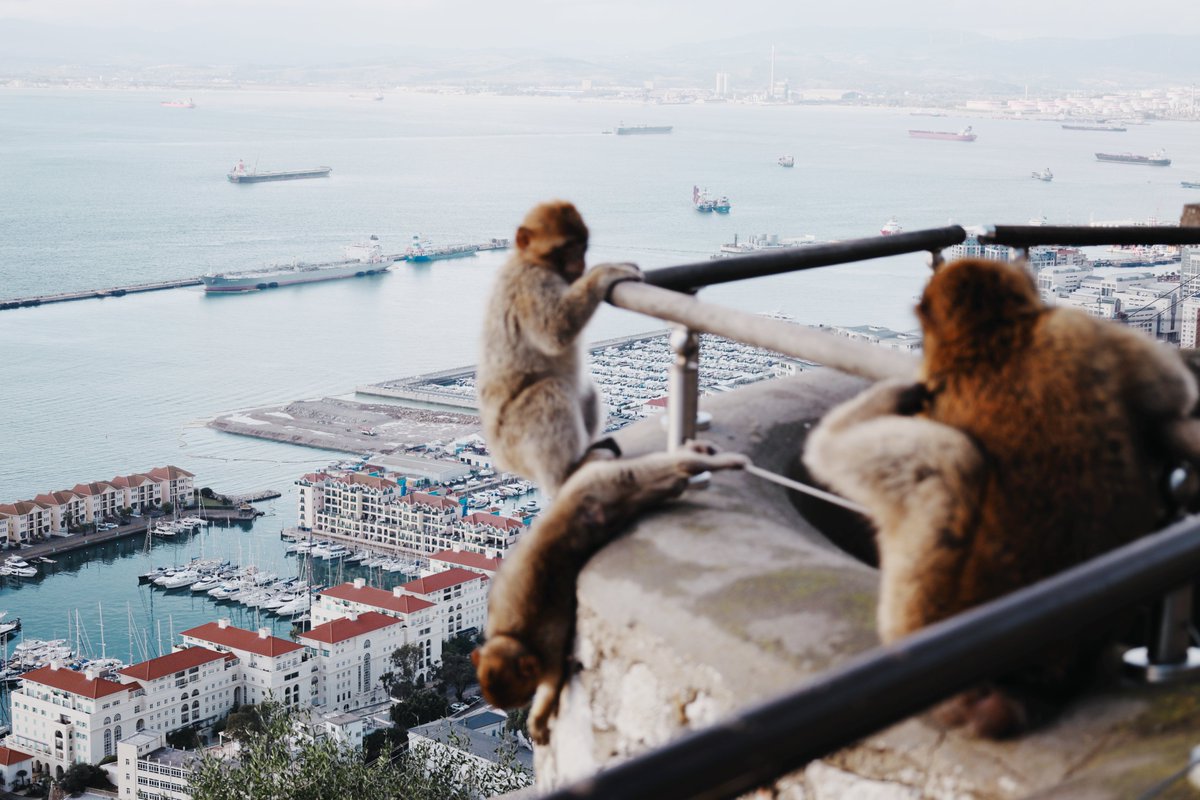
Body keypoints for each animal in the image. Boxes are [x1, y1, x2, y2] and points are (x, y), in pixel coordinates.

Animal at [472, 441, 748, 744]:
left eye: (523, 693)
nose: (520, 706)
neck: (509, 636)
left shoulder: (546, 645)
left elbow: (553, 682)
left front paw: (538, 720)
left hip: (612, 480)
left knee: (673, 467)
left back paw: (719, 460)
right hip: (622, 486)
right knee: (669, 480)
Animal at [476, 201, 643, 496]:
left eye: (581, 247)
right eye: (565, 248)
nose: (580, 263)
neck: (530, 260)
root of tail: (499, 456)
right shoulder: (533, 283)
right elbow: (554, 330)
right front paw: (605, 273)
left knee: (585, 391)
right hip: (515, 441)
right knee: (549, 391)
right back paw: (565, 474)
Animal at [803, 256, 1200, 738]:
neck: (994, 337)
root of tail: (1024, 686)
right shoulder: (1082, 325)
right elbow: (1176, 393)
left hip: (923, 611)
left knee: (947, 459)